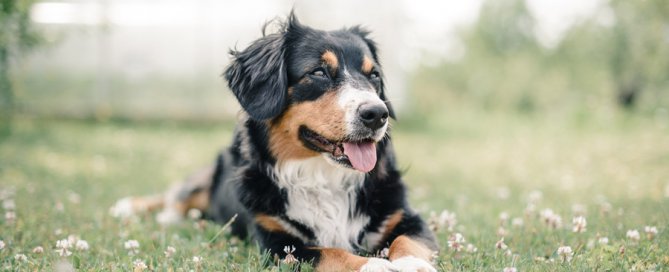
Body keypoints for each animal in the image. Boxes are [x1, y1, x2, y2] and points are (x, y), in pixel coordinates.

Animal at [113, 13, 438, 272]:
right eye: (318, 72)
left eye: (374, 76)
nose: (377, 114)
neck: (322, 176)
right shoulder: (277, 243)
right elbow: (332, 253)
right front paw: (375, 265)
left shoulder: (406, 217)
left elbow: (408, 241)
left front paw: (413, 265)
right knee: (178, 194)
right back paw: (136, 208)